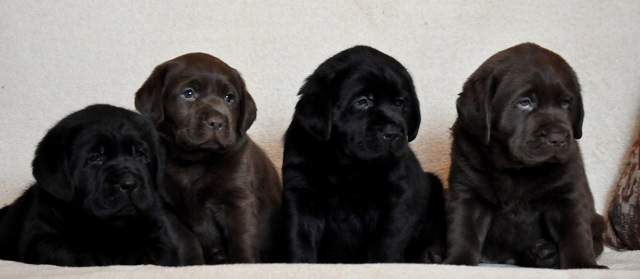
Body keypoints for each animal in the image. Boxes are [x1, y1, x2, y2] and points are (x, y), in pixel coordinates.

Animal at [0, 104, 202, 266]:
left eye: (140, 155)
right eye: (95, 157)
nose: (129, 183)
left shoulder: (160, 238)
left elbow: (149, 251)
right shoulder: (40, 238)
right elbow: (64, 248)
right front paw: (91, 256)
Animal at [284, 46, 444, 264]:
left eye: (400, 103)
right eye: (362, 102)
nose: (393, 132)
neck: (345, 164)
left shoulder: (393, 198)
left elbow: (387, 242)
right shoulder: (300, 193)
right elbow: (300, 240)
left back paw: (431, 254)